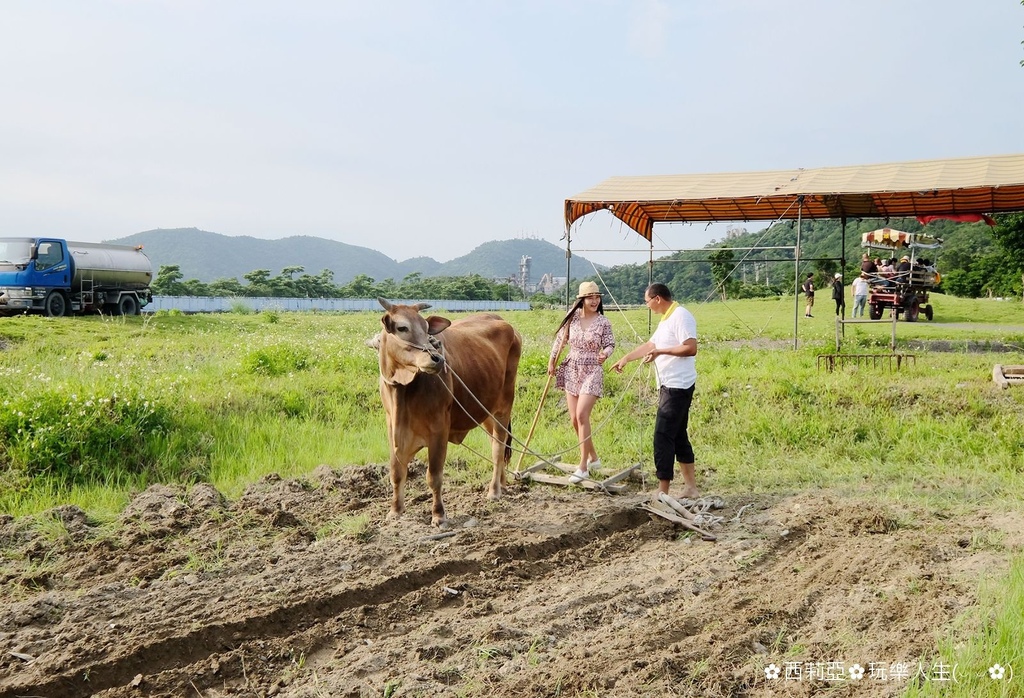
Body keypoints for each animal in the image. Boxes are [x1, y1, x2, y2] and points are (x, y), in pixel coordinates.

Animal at [376, 296, 520, 524]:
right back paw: (503, 484)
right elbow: (397, 473)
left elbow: (434, 476)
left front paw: (439, 515)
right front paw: (395, 511)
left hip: (504, 406)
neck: (402, 389)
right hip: (486, 410)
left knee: (498, 447)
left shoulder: (439, 429)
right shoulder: (393, 430)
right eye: (402, 327)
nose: (437, 359)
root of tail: (506, 324)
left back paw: (494, 491)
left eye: (426, 328)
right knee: (497, 443)